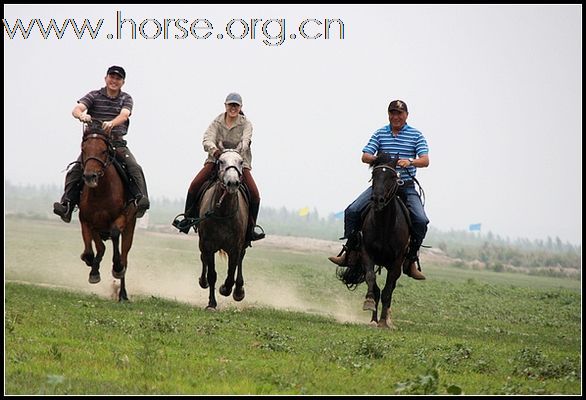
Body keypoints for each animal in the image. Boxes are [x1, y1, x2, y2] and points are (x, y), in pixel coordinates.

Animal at [77, 123, 137, 302]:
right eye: (84, 149)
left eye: (104, 151)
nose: (90, 176)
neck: (101, 193)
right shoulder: (86, 221)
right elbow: (91, 251)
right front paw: (93, 270)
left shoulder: (121, 218)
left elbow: (115, 234)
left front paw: (116, 268)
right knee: (101, 248)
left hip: (130, 228)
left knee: (125, 257)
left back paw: (122, 294)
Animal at [195, 148, 248, 310]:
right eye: (221, 161)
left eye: (241, 161)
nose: (232, 183)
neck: (223, 212)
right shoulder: (208, 245)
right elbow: (212, 274)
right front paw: (211, 304)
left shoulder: (235, 248)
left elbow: (231, 273)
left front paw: (226, 289)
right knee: (203, 258)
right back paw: (203, 281)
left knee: (240, 262)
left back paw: (238, 291)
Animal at [336, 153, 408, 328]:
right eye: (374, 175)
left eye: (392, 176)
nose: (377, 200)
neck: (384, 225)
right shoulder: (366, 254)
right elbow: (371, 280)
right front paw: (370, 307)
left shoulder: (396, 261)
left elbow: (388, 290)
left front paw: (383, 321)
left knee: (391, 288)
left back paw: (387, 319)